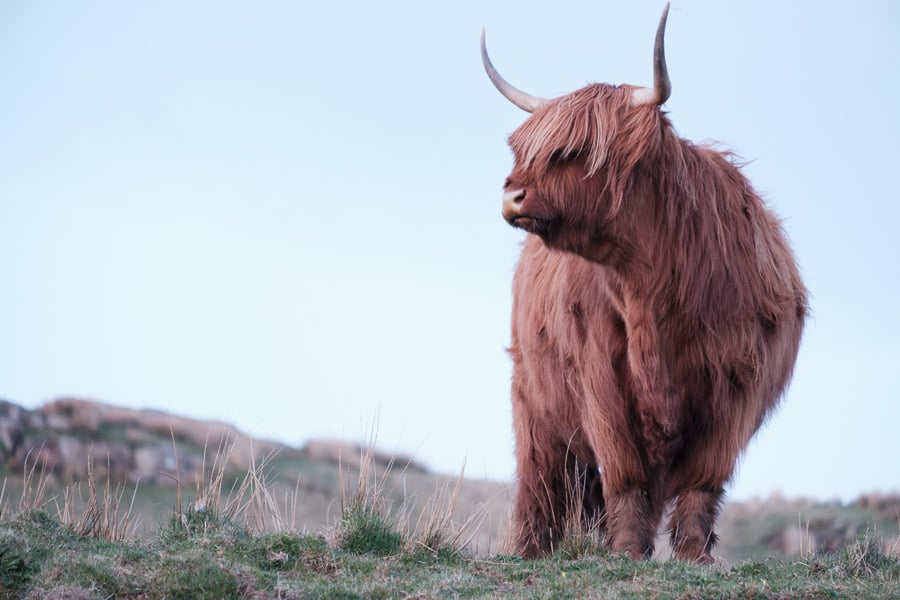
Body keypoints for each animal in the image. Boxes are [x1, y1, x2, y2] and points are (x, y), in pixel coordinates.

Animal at [481, 4, 807, 563]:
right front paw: (628, 550)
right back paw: (531, 549)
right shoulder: (601, 383)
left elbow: (701, 483)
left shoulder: (736, 387)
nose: (512, 195)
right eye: (523, 148)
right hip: (532, 401)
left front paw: (695, 555)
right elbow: (626, 476)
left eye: (575, 150)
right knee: (542, 480)